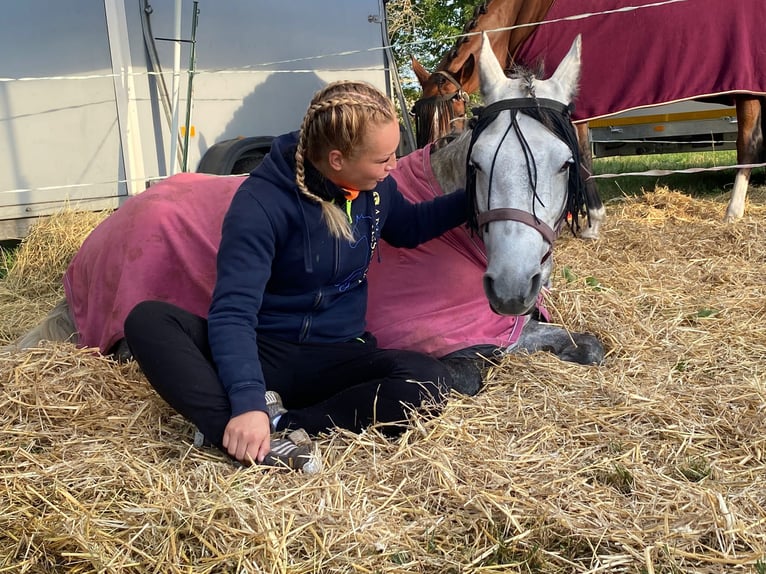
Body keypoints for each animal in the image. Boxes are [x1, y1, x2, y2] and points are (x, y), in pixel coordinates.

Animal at [414, 0, 766, 237]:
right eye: (418, 115)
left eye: (456, 108)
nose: (429, 176)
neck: (526, 18)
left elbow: (581, 158)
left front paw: (593, 222)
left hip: (747, 93)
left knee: (747, 144)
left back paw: (732, 212)